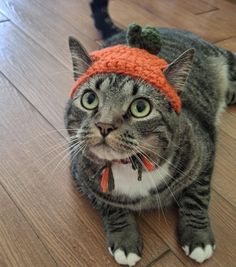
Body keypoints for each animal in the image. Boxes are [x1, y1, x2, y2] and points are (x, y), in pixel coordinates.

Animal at [64, 1, 236, 266]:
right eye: (89, 99)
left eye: (140, 108)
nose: (104, 125)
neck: (131, 165)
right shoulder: (80, 174)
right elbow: (110, 207)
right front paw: (125, 240)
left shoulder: (205, 152)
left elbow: (197, 197)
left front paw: (198, 237)